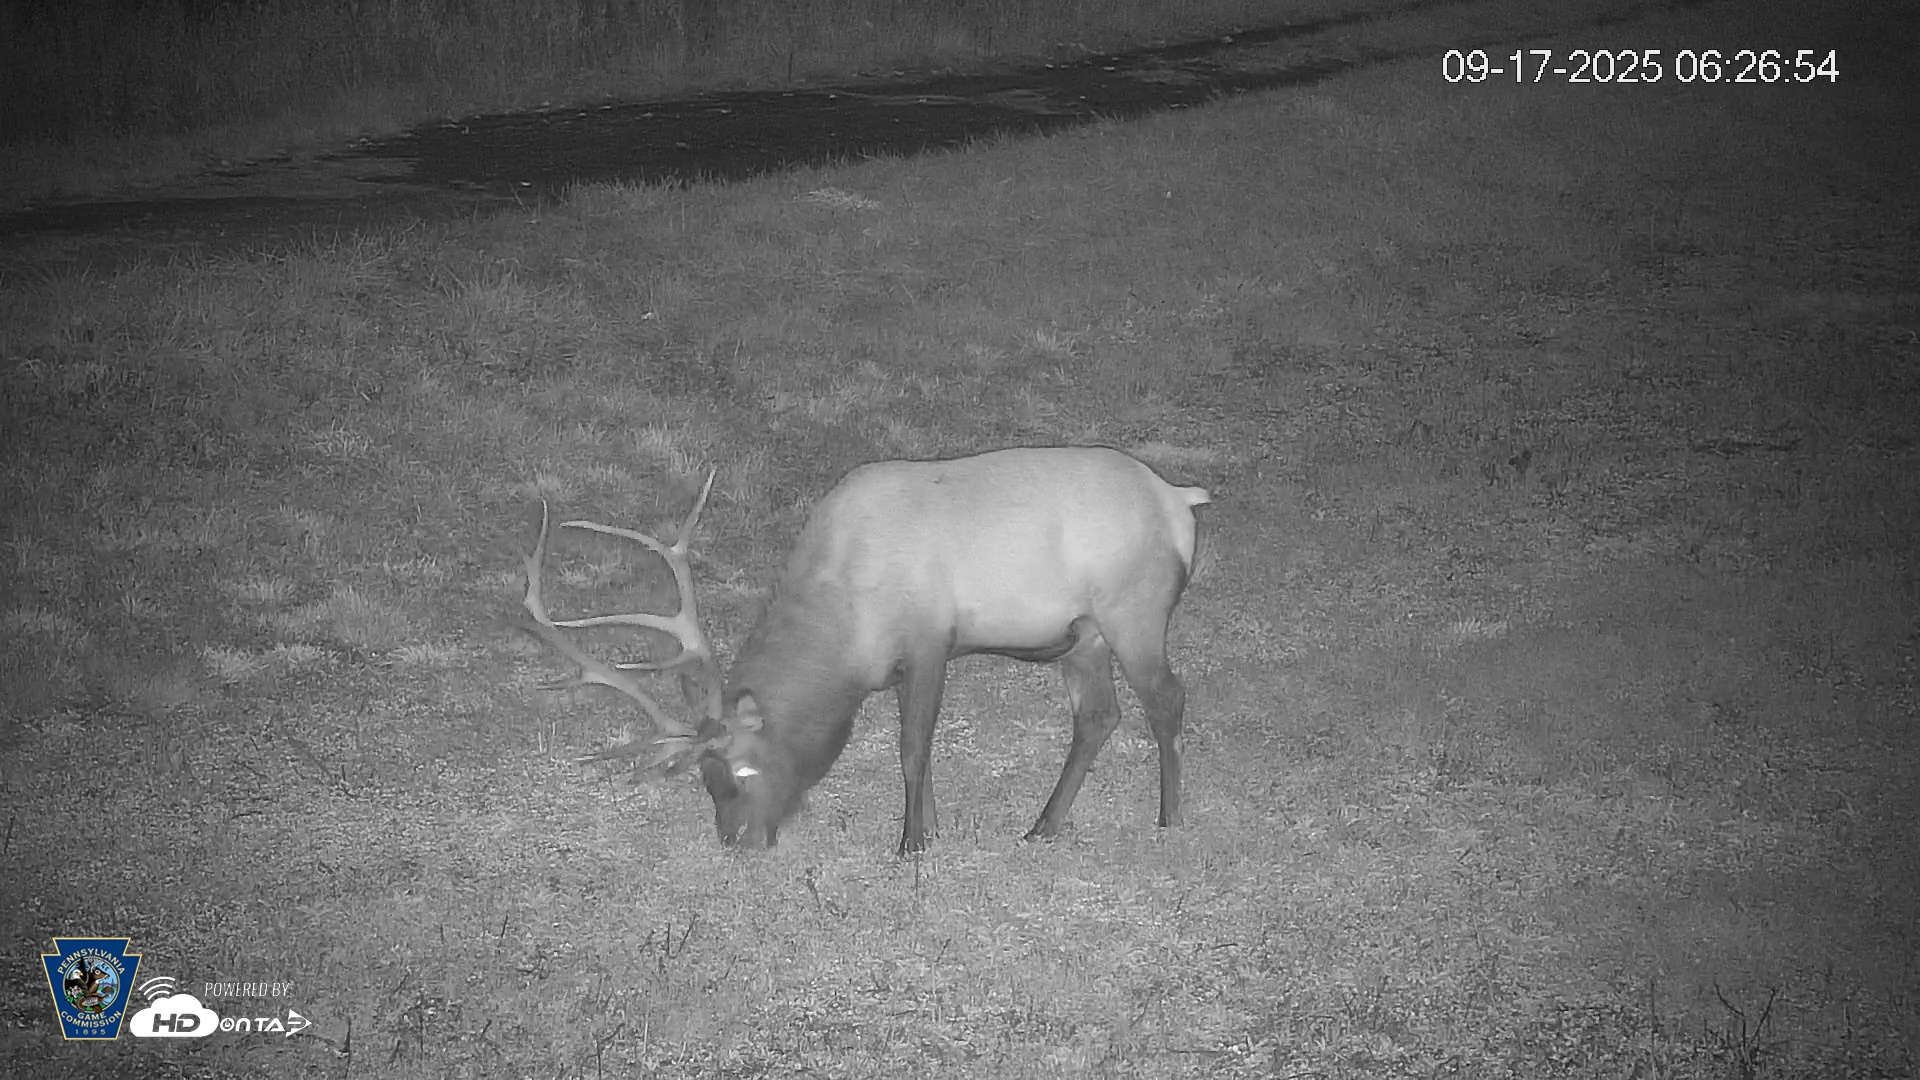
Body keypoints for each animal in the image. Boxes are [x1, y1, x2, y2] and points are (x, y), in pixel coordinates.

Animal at [517, 446, 1210, 856]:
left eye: (742, 772)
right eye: (704, 783)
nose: (739, 843)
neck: (848, 625)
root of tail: (1180, 500)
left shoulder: (930, 639)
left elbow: (912, 748)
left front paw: (911, 843)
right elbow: (920, 748)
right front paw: (932, 828)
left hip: (1134, 611)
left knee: (1168, 701)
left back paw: (1170, 819)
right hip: (1083, 633)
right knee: (1099, 716)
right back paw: (1044, 824)